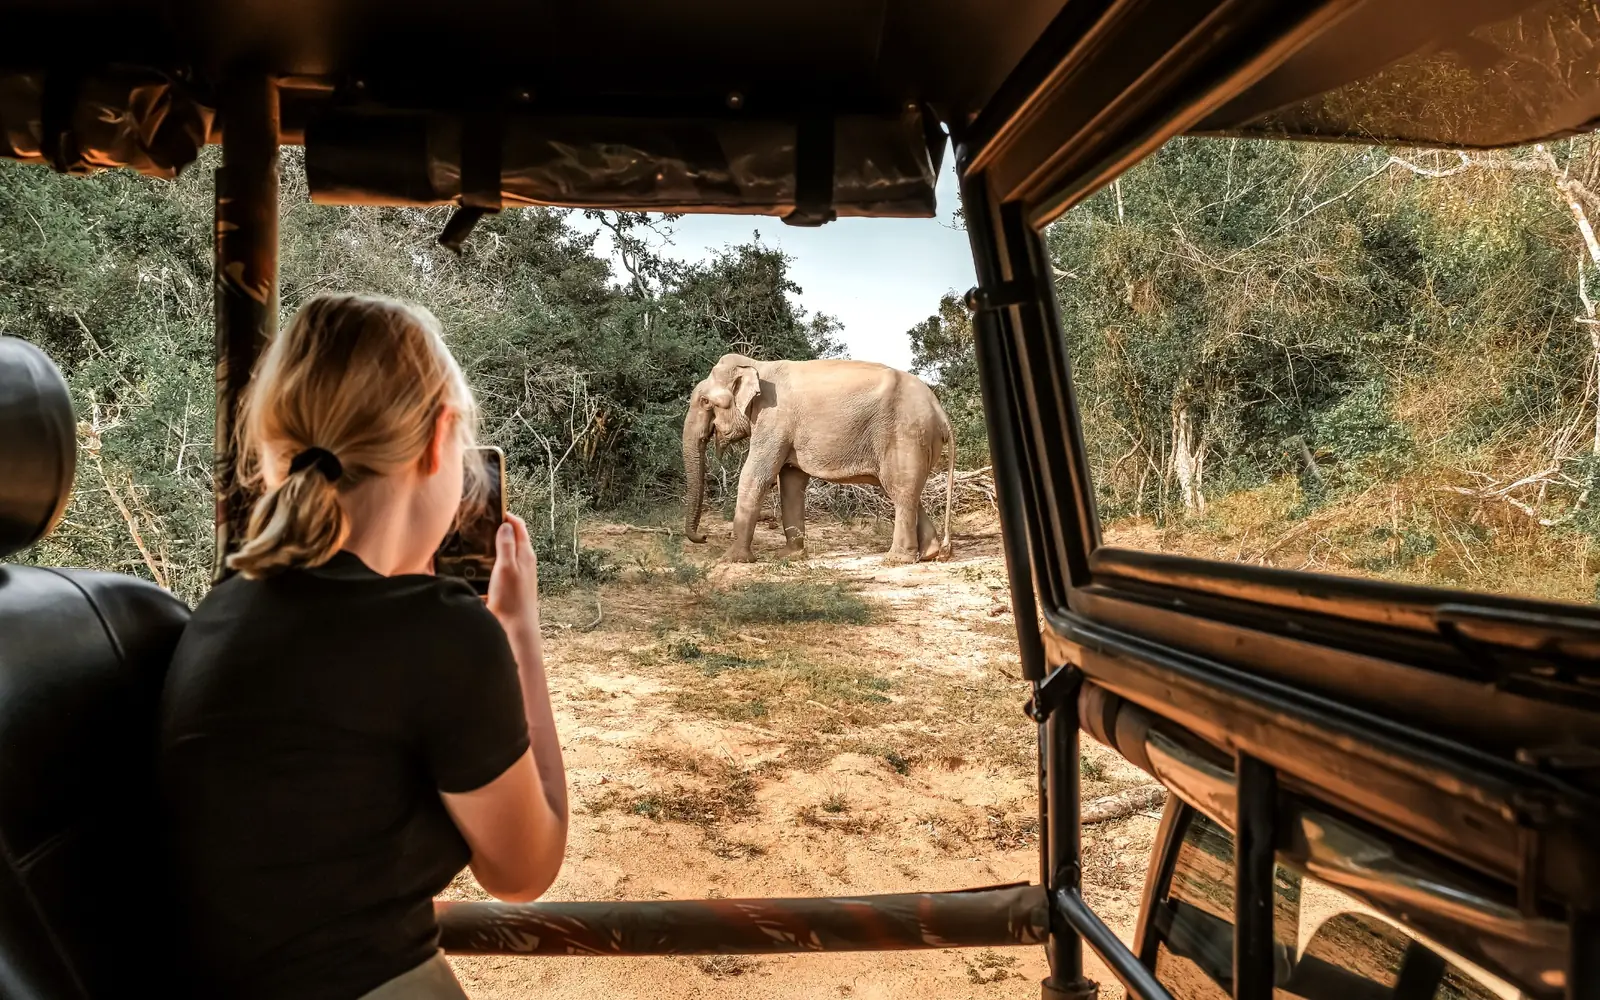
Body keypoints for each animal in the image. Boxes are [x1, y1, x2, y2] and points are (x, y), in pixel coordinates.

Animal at [682, 353, 956, 564]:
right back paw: (930, 553)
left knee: (900, 489)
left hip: (906, 436)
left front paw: (731, 560)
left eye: (705, 401)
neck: (757, 365)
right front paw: (790, 556)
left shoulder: (774, 419)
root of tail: (940, 412)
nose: (703, 536)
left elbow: (756, 476)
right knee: (905, 491)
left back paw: (896, 559)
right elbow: (790, 481)